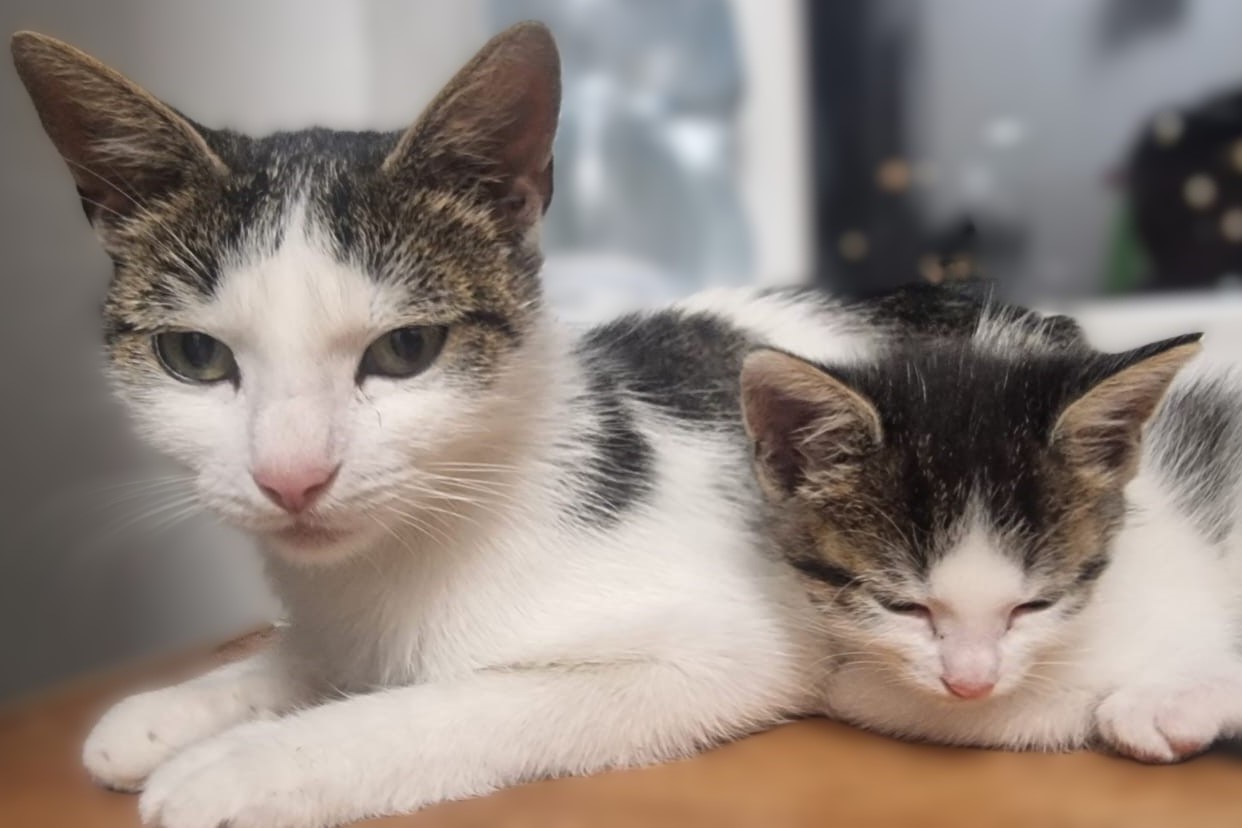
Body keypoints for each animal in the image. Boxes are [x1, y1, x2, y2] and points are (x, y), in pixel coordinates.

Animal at [10, 22, 894, 828]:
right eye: (194, 355)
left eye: (406, 350)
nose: (291, 477)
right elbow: (322, 654)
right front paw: (181, 707)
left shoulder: (725, 647)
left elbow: (475, 698)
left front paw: (244, 765)